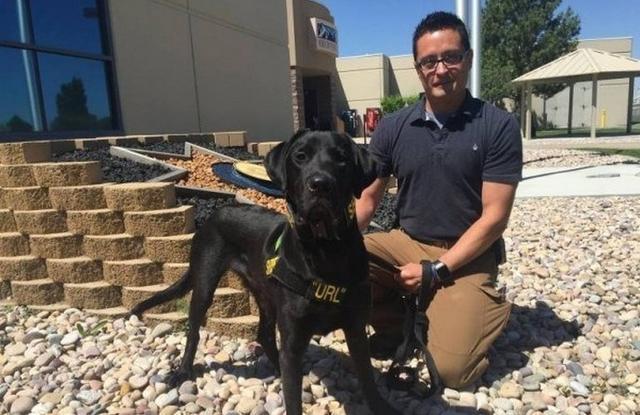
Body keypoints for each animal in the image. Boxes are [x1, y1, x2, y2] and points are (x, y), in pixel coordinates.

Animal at [130, 130, 400, 415]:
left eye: (341, 158)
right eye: (300, 156)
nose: (320, 184)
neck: (325, 249)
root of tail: (219, 212)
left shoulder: (356, 328)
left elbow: (367, 378)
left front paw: (382, 406)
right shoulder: (293, 339)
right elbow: (292, 399)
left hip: (266, 294)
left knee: (264, 333)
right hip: (205, 281)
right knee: (194, 329)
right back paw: (183, 371)